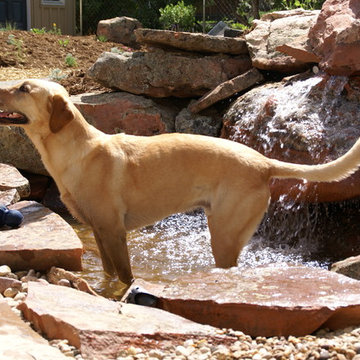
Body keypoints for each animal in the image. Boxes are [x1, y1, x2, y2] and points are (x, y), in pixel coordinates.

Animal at [0, 80, 360, 286]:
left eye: (23, 89)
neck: (74, 150)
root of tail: (263, 162)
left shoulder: (114, 232)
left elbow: (126, 277)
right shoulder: (100, 233)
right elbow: (108, 274)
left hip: (224, 236)